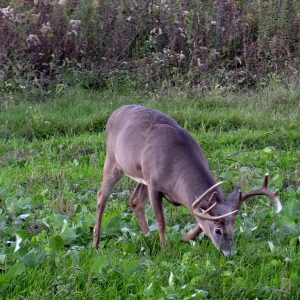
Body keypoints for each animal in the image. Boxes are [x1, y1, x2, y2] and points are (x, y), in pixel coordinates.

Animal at [93, 105, 282, 255]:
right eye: (217, 230)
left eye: (234, 227)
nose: (229, 253)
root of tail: (115, 112)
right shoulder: (154, 184)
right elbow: (161, 221)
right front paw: (166, 249)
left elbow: (198, 217)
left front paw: (185, 238)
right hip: (113, 160)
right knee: (102, 196)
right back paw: (96, 243)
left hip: (141, 175)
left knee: (134, 201)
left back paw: (148, 237)